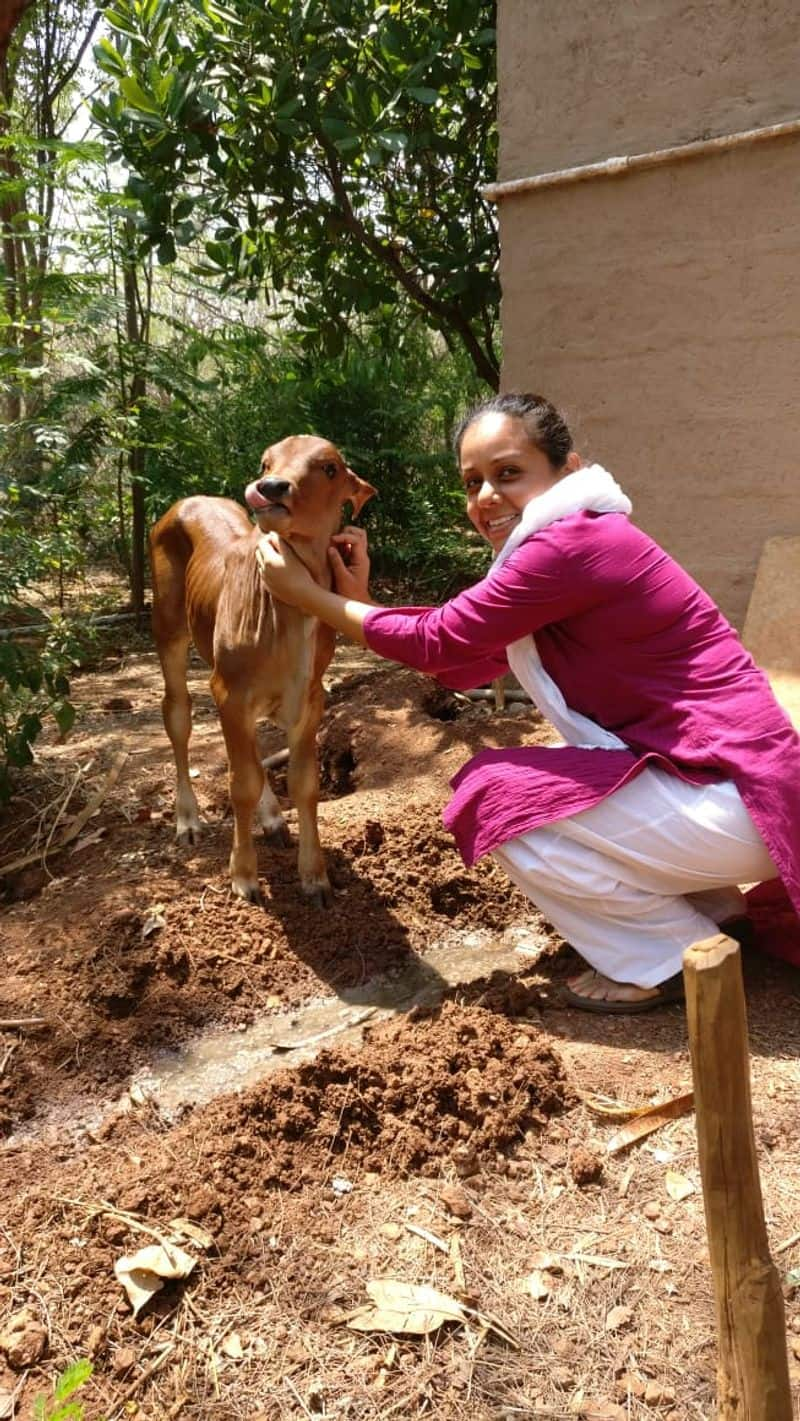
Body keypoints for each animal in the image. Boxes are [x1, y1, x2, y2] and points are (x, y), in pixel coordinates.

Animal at [152, 431, 377, 903]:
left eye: (329, 467)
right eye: (265, 462)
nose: (271, 486)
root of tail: (187, 501)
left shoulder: (311, 695)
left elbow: (303, 782)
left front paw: (315, 877)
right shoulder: (229, 689)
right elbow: (241, 784)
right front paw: (244, 876)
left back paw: (272, 820)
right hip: (167, 628)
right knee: (177, 713)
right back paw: (188, 820)